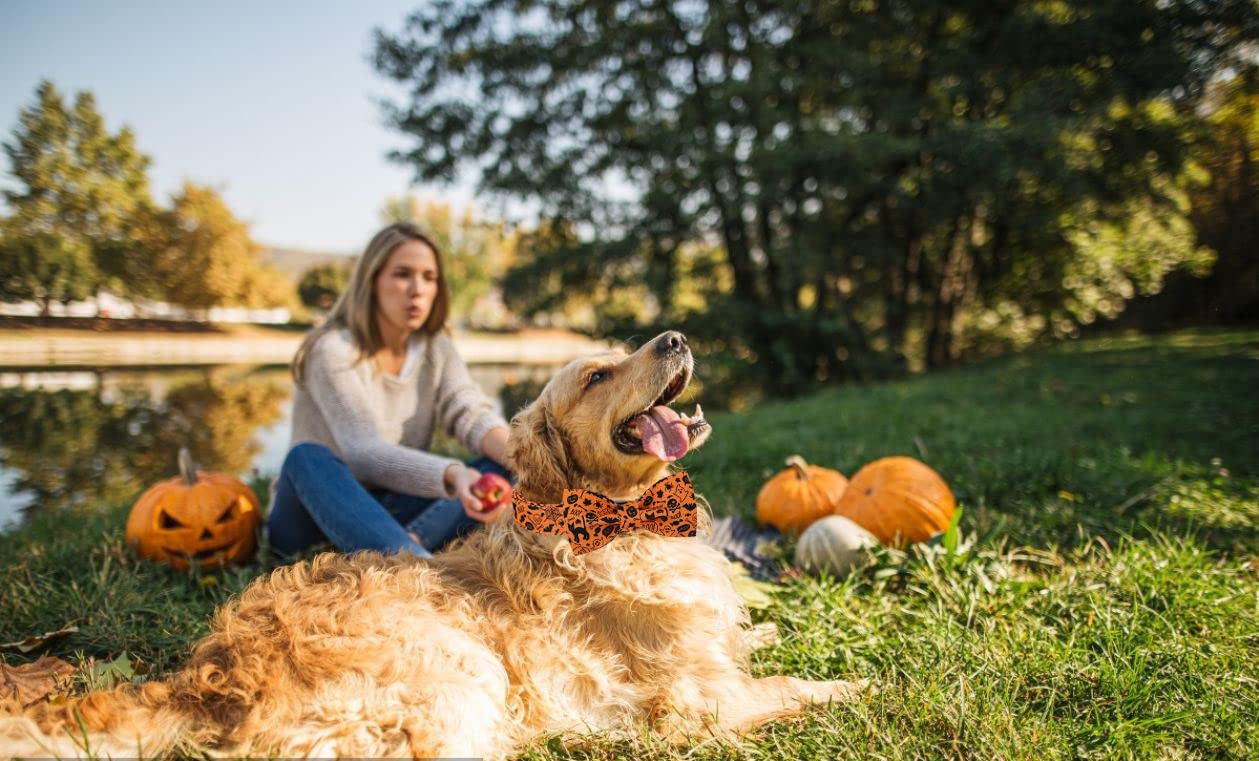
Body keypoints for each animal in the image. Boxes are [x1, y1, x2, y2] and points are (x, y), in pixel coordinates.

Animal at [0, 330, 861, 755]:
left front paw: (769, 626)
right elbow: (782, 687)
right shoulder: (693, 700)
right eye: (595, 375)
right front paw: (847, 686)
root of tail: (208, 677)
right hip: (456, 680)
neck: (625, 517)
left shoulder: (709, 648)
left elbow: (743, 639)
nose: (675, 335)